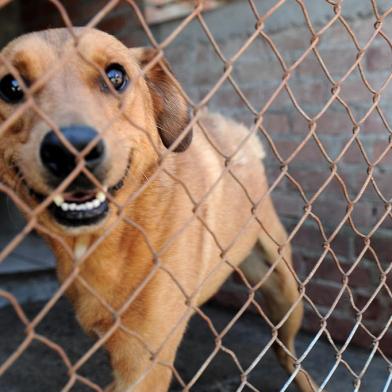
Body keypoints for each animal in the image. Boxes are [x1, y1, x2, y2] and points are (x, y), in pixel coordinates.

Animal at [0, 29, 316, 390]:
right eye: (10, 86)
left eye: (115, 76)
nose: (72, 150)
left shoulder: (145, 361)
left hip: (286, 292)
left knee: (286, 351)